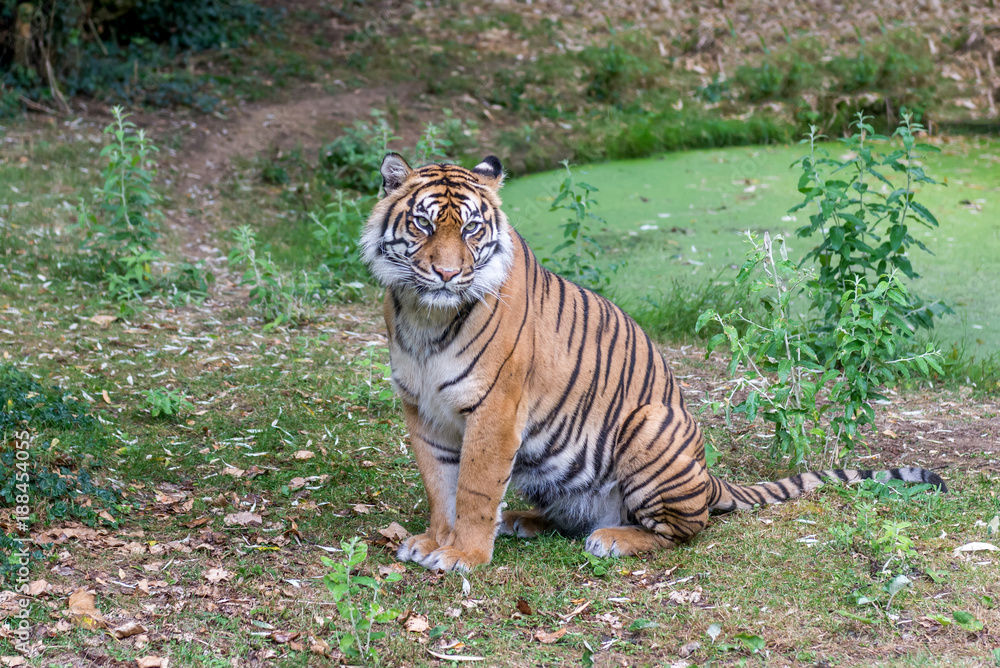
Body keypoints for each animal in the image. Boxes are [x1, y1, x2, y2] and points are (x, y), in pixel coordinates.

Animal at [360, 153, 947, 572]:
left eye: (472, 230)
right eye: (423, 225)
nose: (446, 275)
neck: (425, 317)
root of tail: (710, 477)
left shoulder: (495, 410)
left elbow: (476, 488)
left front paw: (464, 555)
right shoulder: (422, 409)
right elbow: (440, 485)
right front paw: (434, 541)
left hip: (649, 424)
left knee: (685, 530)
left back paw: (612, 539)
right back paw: (524, 521)